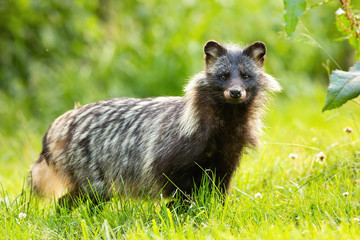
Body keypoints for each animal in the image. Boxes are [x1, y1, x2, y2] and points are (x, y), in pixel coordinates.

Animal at [28, 40, 282, 207]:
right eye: (223, 76)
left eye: (246, 76)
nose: (236, 92)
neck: (224, 126)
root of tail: (57, 126)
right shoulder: (172, 152)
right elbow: (178, 185)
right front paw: (182, 209)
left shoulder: (225, 158)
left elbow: (216, 190)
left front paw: (211, 210)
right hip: (90, 167)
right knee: (85, 197)